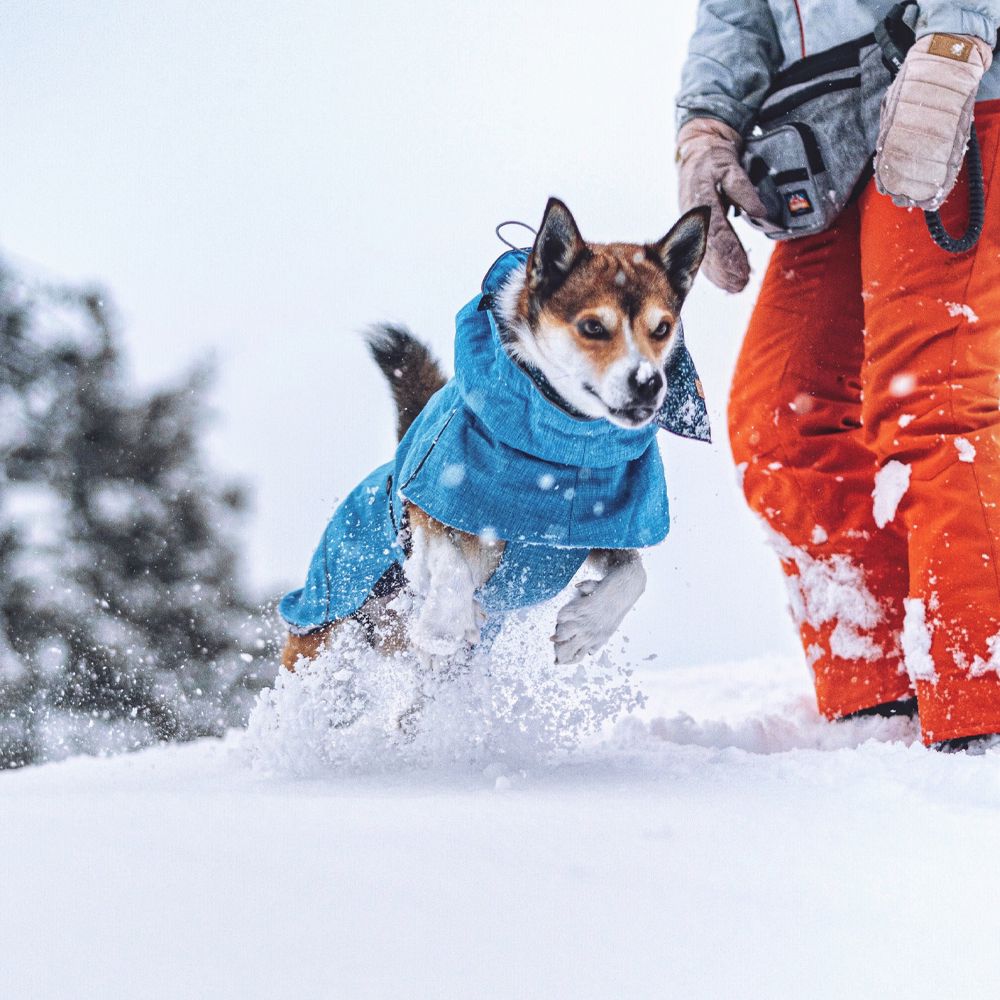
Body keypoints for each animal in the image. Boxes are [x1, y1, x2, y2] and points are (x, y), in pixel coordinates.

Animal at [278, 198, 708, 676]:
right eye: (593, 327)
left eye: (661, 328)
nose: (648, 383)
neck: (557, 461)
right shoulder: (428, 500)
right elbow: (448, 563)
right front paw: (444, 629)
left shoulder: (597, 535)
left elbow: (634, 573)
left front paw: (584, 629)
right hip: (323, 623)